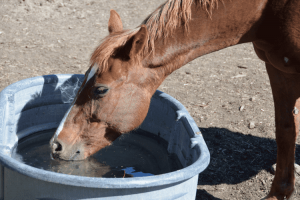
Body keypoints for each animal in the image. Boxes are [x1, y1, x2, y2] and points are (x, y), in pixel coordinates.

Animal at [49, 0, 300, 199]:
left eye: (100, 90)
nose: (56, 145)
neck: (265, 10)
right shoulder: (278, 68)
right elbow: (286, 130)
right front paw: (279, 193)